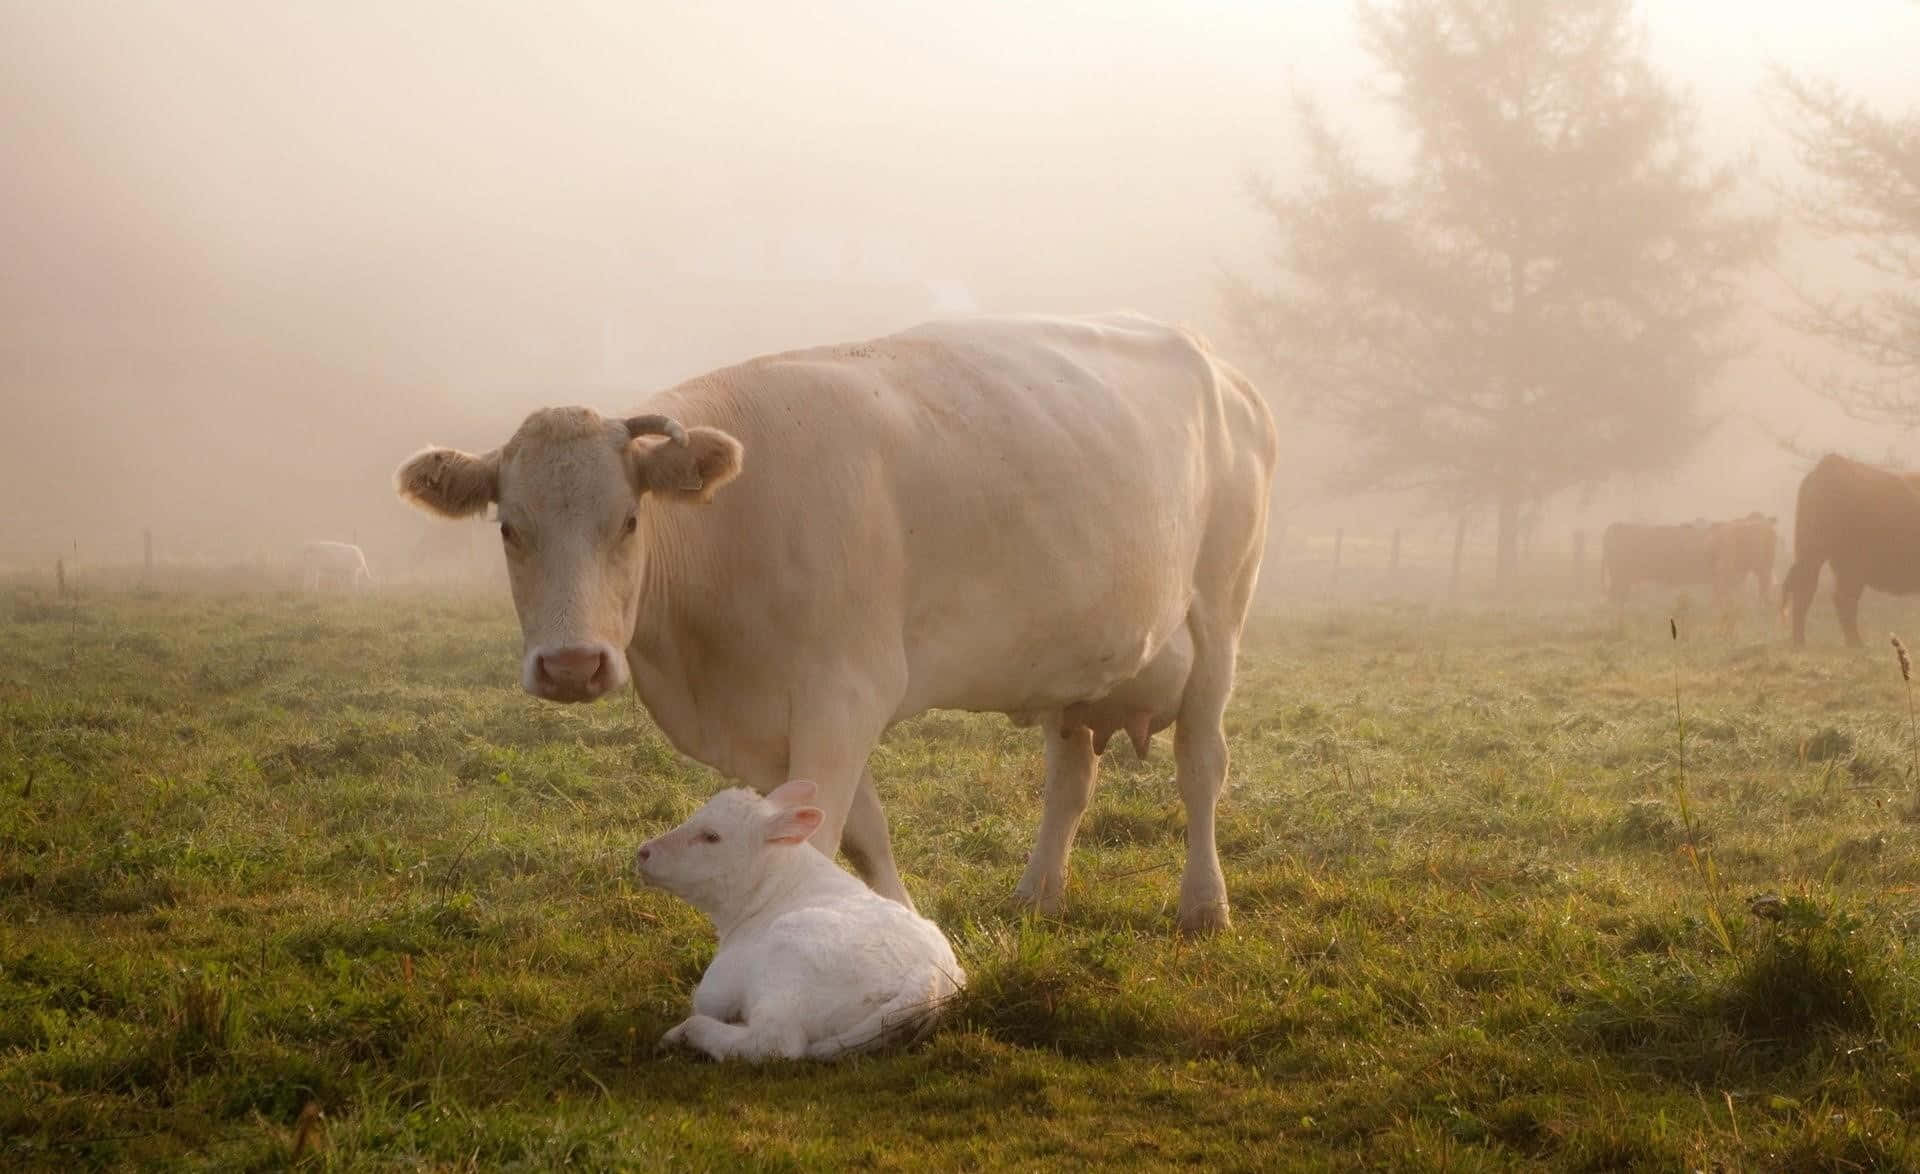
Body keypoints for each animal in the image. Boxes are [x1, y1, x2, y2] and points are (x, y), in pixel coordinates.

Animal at [395, 314, 1277, 932]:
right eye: (509, 528)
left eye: (630, 521)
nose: (572, 666)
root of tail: (1225, 368)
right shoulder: (763, 731)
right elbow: (860, 831)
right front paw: (902, 928)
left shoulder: (843, 693)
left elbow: (816, 845)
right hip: (1076, 656)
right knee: (1070, 781)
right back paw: (1037, 894)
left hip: (1222, 613)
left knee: (1202, 766)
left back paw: (1204, 905)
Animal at [1781, 454, 1920, 646]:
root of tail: (1829, 465)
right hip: (1842, 562)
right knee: (1838, 598)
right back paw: (1854, 644)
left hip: (1816, 555)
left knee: (1809, 592)